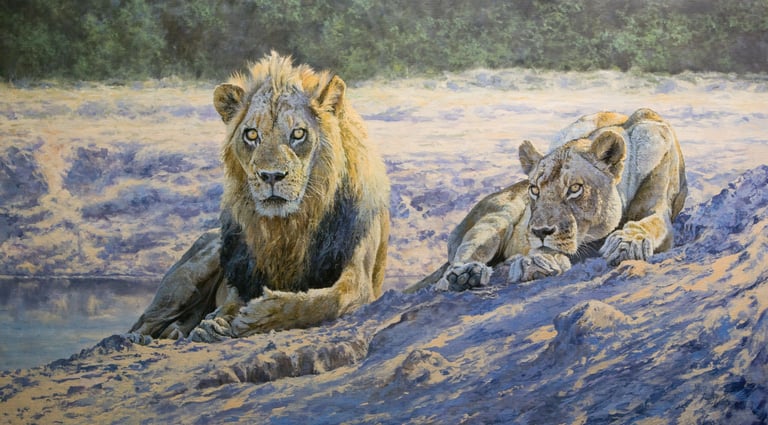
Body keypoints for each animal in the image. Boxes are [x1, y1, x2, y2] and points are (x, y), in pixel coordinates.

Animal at [129, 52, 390, 342]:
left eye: (298, 133)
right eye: (252, 134)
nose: (271, 176)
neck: (290, 226)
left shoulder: (360, 280)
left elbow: (324, 301)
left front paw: (258, 316)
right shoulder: (244, 271)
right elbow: (232, 299)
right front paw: (217, 323)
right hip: (190, 275)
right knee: (144, 322)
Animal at [406, 108, 687, 293]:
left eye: (575, 188)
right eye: (534, 189)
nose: (540, 232)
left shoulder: (658, 208)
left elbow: (650, 224)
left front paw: (628, 242)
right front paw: (537, 261)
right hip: (495, 218)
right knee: (454, 267)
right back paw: (467, 274)